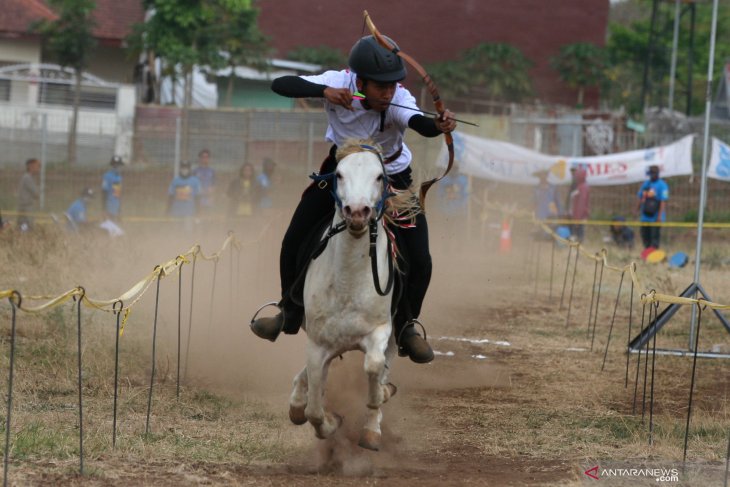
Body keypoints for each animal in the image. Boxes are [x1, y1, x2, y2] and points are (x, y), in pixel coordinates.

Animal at [288, 143, 406, 452]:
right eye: (339, 174)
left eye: (380, 176)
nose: (357, 212)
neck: (349, 284)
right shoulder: (318, 344)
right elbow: (314, 410)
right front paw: (330, 422)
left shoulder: (380, 331)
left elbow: (374, 367)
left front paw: (375, 411)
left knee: (383, 367)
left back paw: (374, 422)